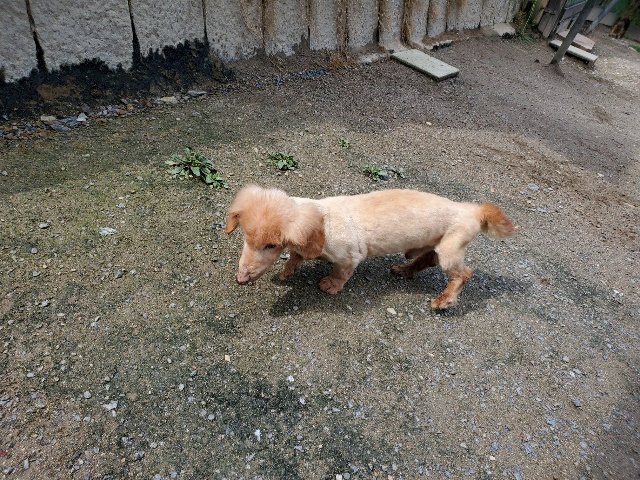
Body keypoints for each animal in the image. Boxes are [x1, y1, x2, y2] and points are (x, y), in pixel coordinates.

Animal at [225, 185, 516, 309]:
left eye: (271, 245)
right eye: (246, 238)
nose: (240, 279)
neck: (321, 220)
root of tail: (475, 210)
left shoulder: (349, 257)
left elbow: (340, 273)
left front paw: (329, 286)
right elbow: (295, 257)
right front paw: (286, 273)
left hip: (451, 248)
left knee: (464, 274)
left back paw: (444, 301)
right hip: (437, 245)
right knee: (426, 260)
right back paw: (404, 270)